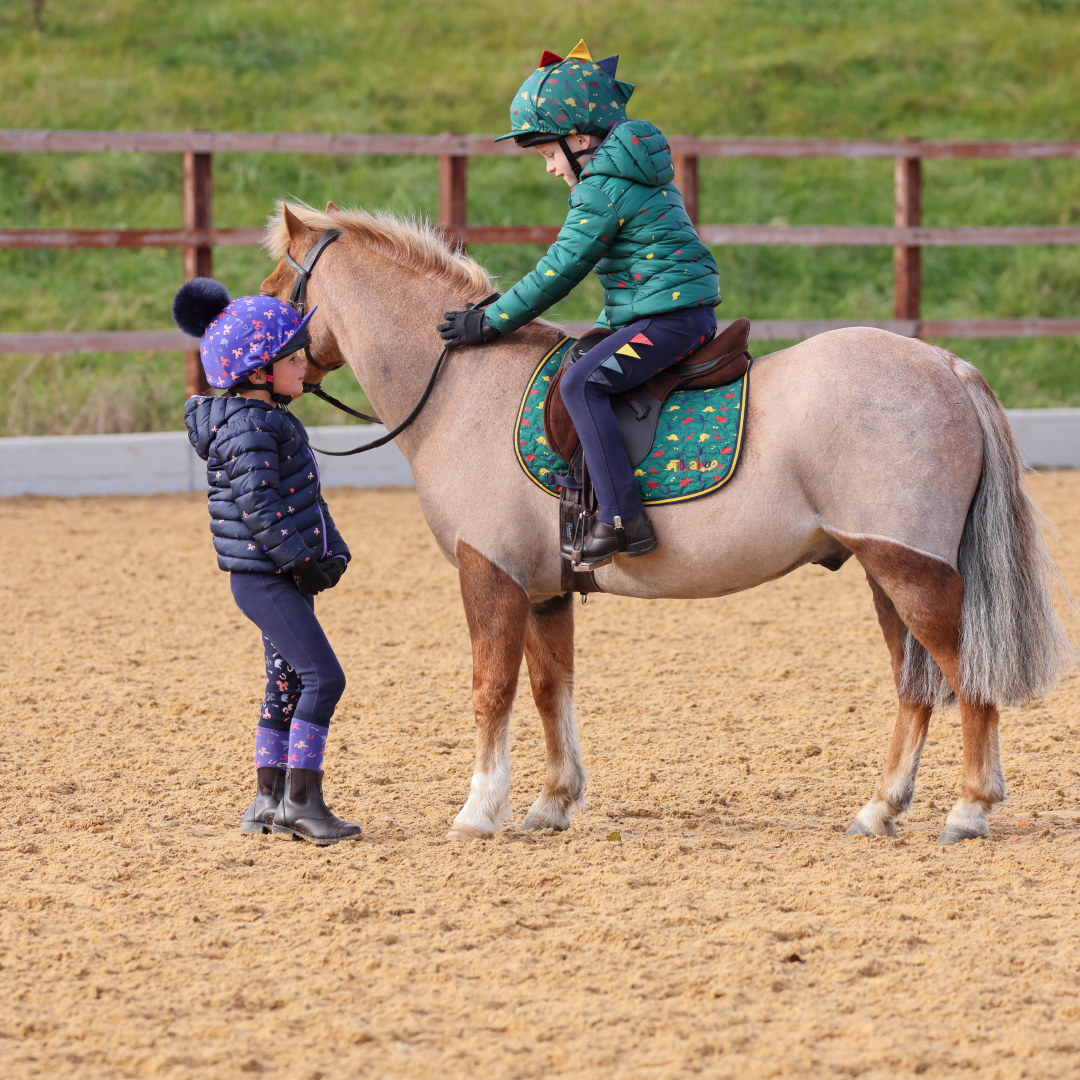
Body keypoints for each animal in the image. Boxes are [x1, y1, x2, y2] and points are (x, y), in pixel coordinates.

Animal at [259, 200, 1071, 842]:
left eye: (272, 288)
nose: (249, 377)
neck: (463, 389)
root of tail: (943, 365)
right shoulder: (545, 589)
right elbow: (552, 689)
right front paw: (552, 803)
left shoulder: (488, 572)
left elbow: (492, 687)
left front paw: (479, 811)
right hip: (885, 568)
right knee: (916, 684)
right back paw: (880, 809)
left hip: (911, 568)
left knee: (964, 674)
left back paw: (969, 809)